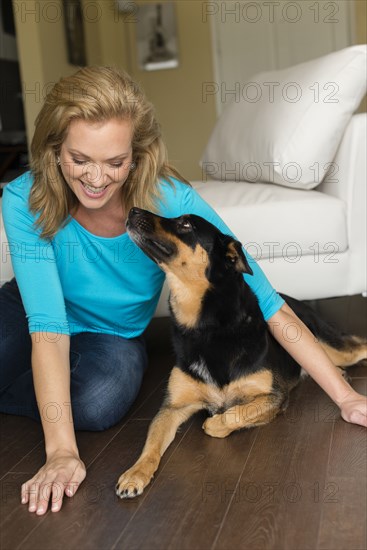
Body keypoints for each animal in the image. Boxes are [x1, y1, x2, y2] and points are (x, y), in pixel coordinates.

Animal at [115, 208, 367, 500]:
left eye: (186, 224)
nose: (132, 210)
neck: (205, 328)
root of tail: (294, 301)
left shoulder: (273, 396)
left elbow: (232, 414)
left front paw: (214, 423)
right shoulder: (172, 407)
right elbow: (151, 442)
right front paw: (135, 474)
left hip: (332, 347)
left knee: (358, 347)